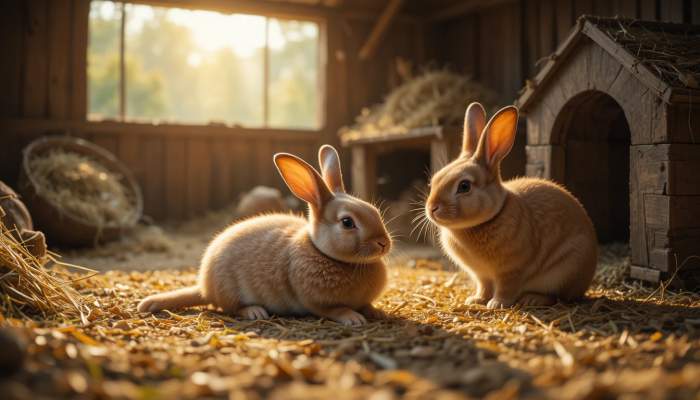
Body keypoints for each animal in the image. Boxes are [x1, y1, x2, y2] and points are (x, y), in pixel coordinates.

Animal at [137, 145, 391, 326]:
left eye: (374, 210)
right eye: (347, 222)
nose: (384, 244)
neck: (323, 252)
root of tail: (204, 287)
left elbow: (367, 305)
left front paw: (377, 312)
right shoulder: (315, 302)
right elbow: (334, 310)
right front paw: (353, 318)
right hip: (230, 291)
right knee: (232, 308)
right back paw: (255, 311)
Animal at [425, 102, 597, 309]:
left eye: (464, 186)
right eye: (434, 180)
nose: (432, 208)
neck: (492, 216)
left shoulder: (511, 271)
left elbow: (506, 288)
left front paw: (496, 304)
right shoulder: (482, 275)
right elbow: (484, 286)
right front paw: (477, 300)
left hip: (564, 271)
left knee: (557, 296)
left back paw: (532, 299)